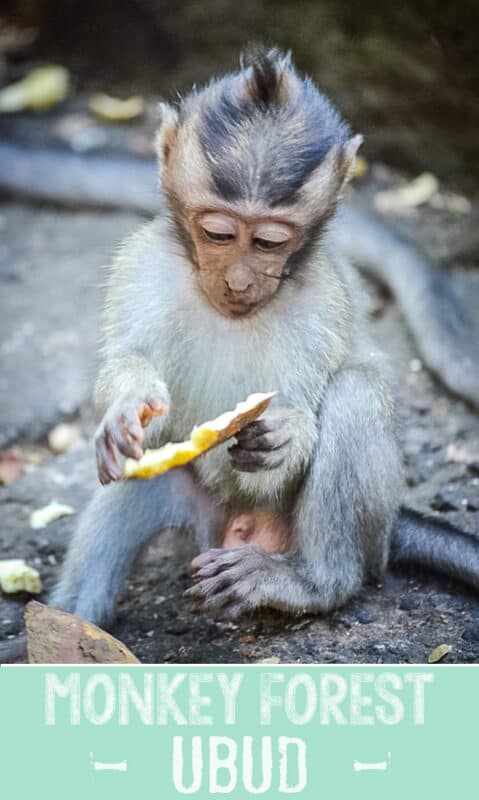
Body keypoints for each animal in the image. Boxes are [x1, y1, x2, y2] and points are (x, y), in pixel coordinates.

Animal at [49, 47, 479, 628]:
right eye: (218, 233)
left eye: (270, 241)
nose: (238, 281)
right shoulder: (143, 266)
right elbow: (126, 363)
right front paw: (125, 405)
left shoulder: (321, 300)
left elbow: (306, 408)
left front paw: (287, 435)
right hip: (193, 504)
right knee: (138, 478)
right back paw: (68, 624)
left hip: (349, 535)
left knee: (354, 393)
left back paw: (312, 582)